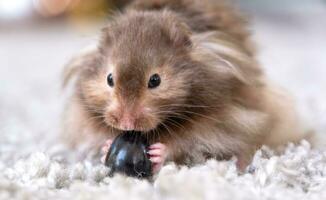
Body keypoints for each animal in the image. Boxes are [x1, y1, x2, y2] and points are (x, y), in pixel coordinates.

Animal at [61, 0, 308, 172]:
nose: (126, 123)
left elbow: (185, 141)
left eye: (155, 80)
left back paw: (241, 166)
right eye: (109, 79)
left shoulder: (221, 120)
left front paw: (159, 152)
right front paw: (105, 146)